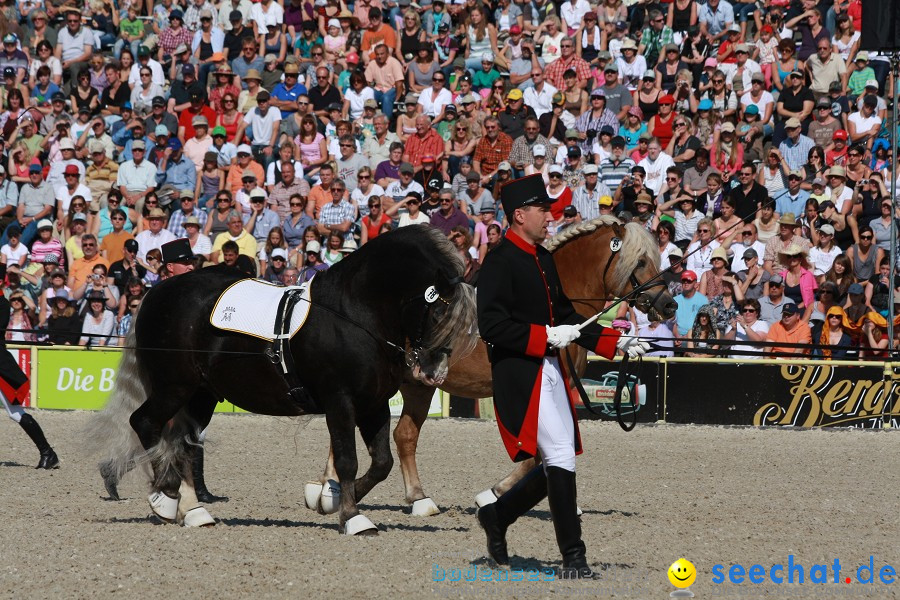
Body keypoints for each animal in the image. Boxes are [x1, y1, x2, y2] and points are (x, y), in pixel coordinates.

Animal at [91, 226, 478, 536]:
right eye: (438, 309)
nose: (433, 372)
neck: (353, 313)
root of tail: (156, 293)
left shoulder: (373, 403)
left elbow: (381, 462)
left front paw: (328, 500)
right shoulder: (340, 400)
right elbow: (348, 459)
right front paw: (352, 517)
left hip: (201, 395)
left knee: (180, 443)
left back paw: (193, 511)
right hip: (174, 387)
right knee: (146, 423)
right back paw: (164, 499)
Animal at [306, 217, 680, 516]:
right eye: (641, 260)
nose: (669, 304)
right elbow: (534, 451)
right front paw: (493, 494)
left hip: (416, 384)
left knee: (403, 436)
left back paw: (410, 498)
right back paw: (329, 491)